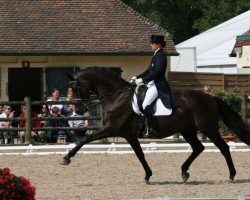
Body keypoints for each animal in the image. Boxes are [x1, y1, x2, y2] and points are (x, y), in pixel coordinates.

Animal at [61, 67, 250, 183]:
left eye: (76, 88)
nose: (79, 109)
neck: (117, 97)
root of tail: (211, 97)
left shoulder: (111, 129)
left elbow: (85, 139)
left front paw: (67, 157)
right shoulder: (129, 135)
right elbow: (140, 155)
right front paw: (147, 176)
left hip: (207, 128)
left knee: (223, 147)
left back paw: (231, 175)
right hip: (187, 130)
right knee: (198, 148)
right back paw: (184, 172)